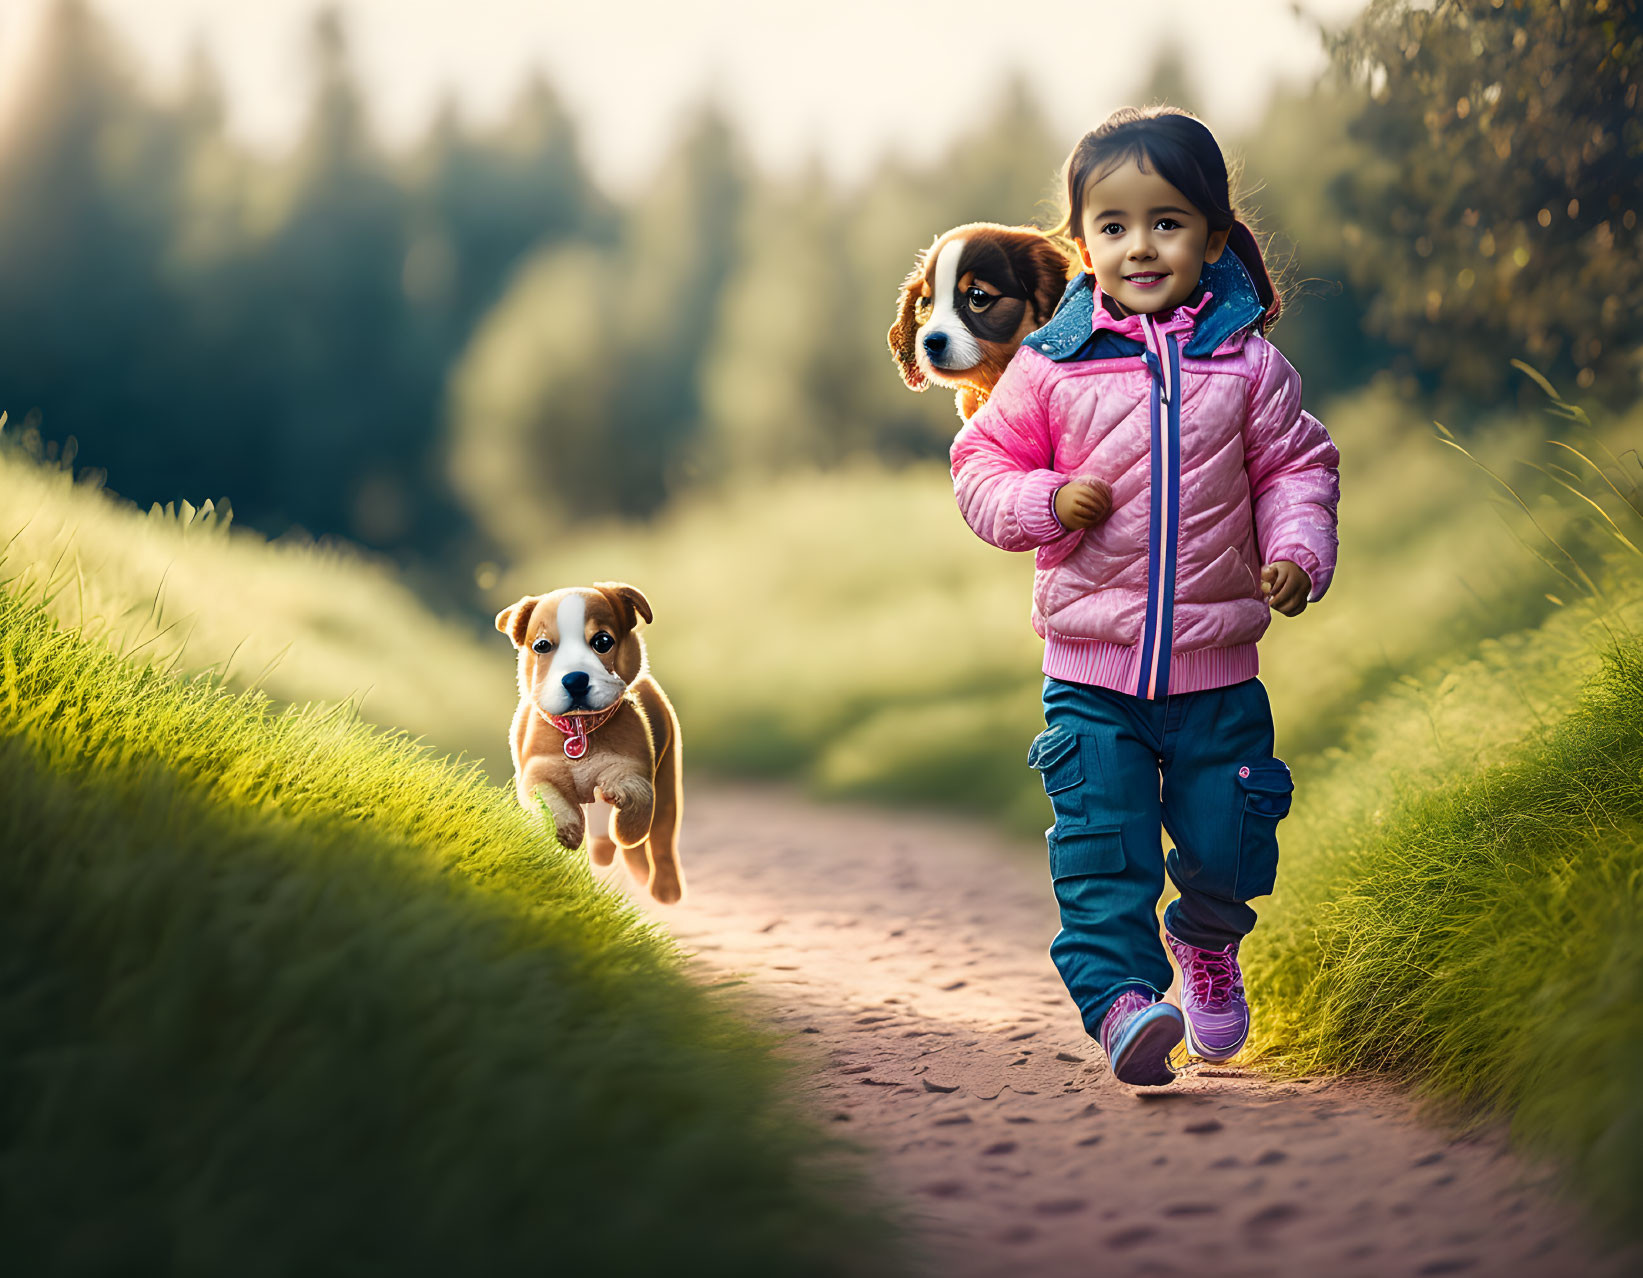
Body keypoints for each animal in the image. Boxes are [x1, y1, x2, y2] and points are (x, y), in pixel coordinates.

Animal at [496, 581, 683, 900]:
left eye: (603, 641)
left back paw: (664, 888)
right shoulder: (537, 771)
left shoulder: (632, 767)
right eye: (542, 646)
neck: (580, 728)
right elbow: (551, 798)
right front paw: (567, 830)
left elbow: (640, 796)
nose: (575, 680)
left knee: (661, 838)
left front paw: (627, 831)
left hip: (669, 782)